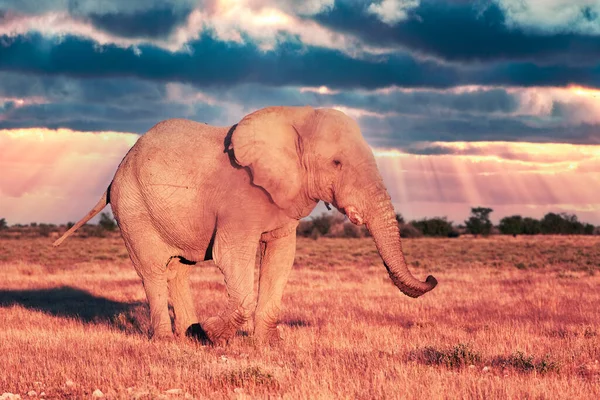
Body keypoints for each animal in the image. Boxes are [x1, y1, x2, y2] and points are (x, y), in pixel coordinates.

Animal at [51, 105, 436, 344]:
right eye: (337, 163)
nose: (432, 278)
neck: (293, 119)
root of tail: (115, 173)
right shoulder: (240, 200)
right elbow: (231, 257)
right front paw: (212, 334)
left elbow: (281, 258)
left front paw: (268, 345)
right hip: (133, 208)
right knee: (152, 270)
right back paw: (166, 341)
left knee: (178, 269)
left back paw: (187, 336)